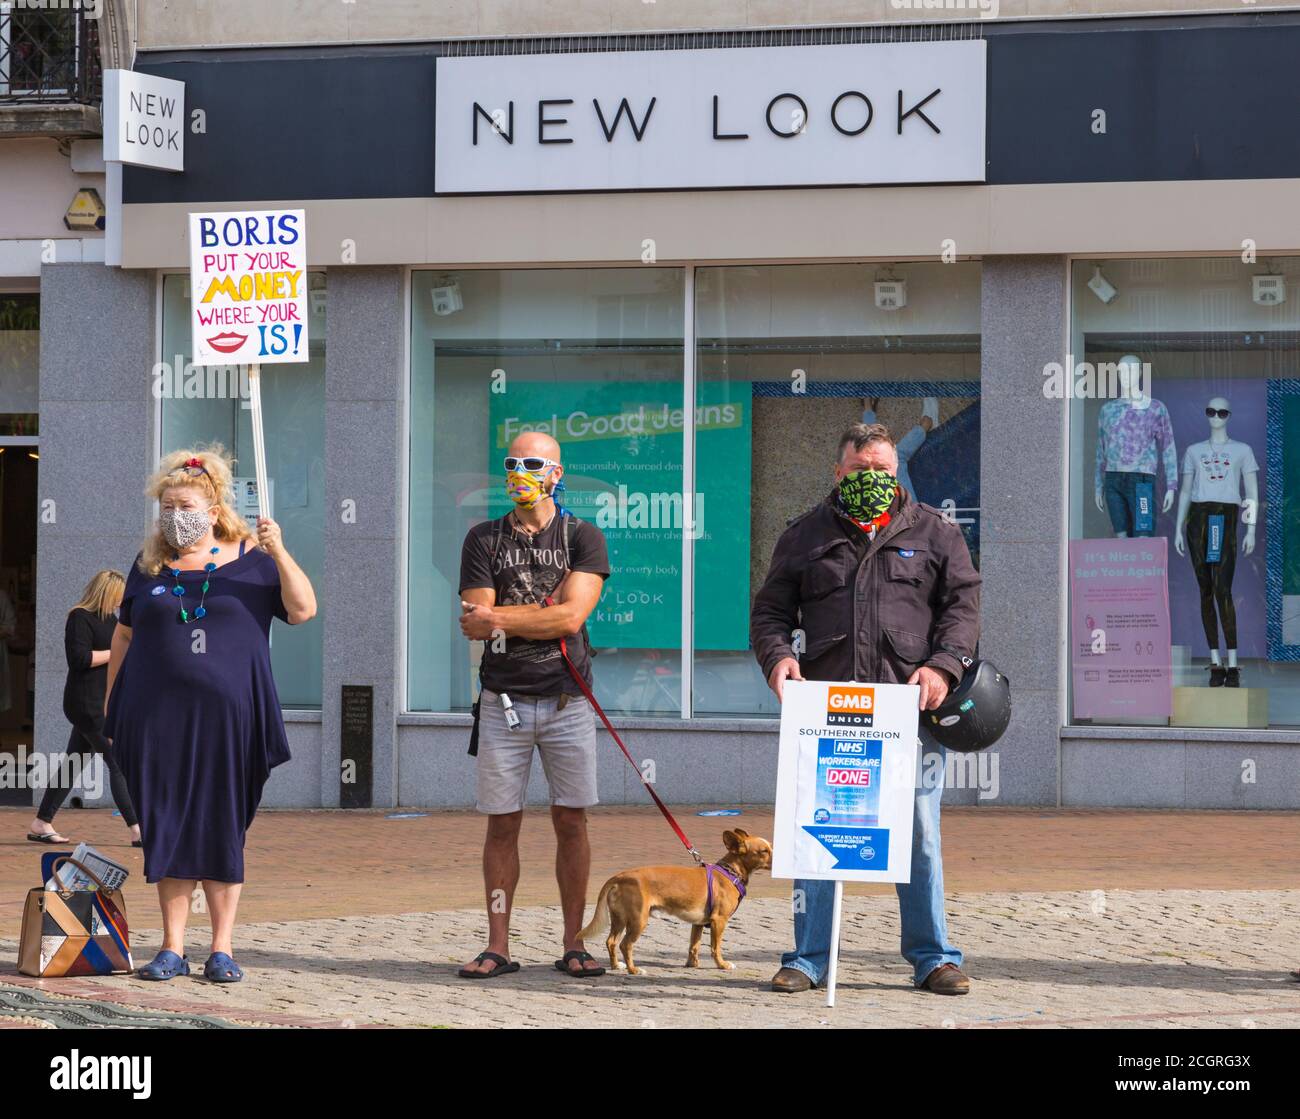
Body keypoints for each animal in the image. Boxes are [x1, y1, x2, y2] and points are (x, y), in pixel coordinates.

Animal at [579, 826, 769, 972]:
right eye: (764, 851)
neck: (730, 872)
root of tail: (619, 877)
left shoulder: (698, 923)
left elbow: (694, 945)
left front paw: (692, 964)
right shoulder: (719, 921)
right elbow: (716, 947)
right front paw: (722, 965)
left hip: (620, 919)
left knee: (611, 942)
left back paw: (616, 966)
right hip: (638, 920)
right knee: (625, 945)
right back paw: (634, 970)